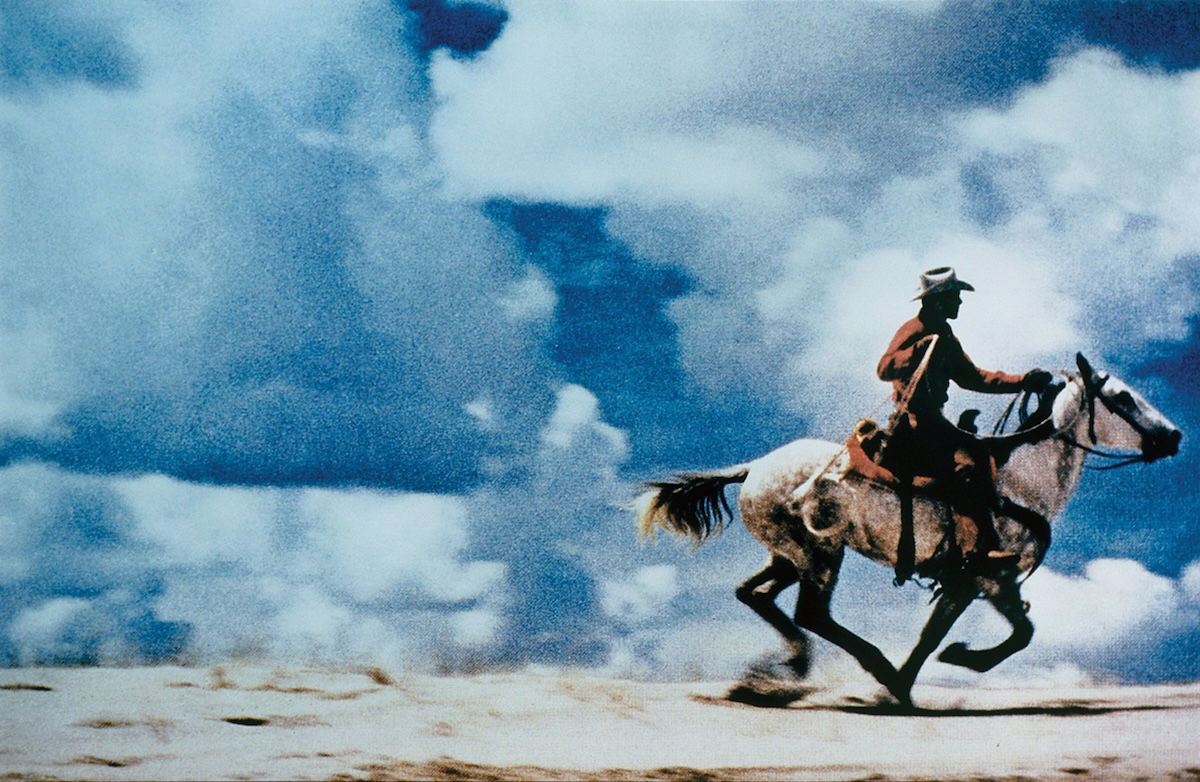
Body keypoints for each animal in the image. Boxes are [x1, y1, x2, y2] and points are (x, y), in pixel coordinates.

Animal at [638, 350, 1180, 705]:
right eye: (1123, 397)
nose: (1173, 436)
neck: (1021, 481)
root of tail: (753, 468)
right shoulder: (987, 577)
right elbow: (1008, 634)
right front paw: (952, 663)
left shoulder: (973, 583)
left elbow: (947, 634)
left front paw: (911, 681)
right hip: (820, 554)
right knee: (811, 613)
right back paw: (861, 663)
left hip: (788, 554)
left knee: (755, 594)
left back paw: (784, 669)